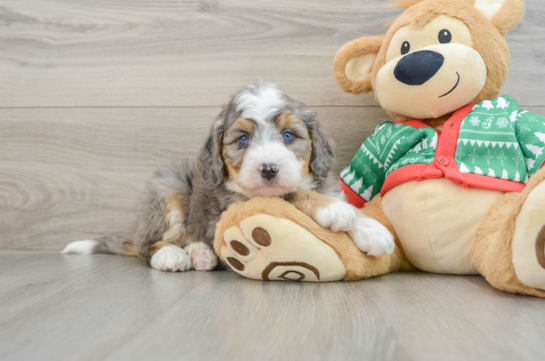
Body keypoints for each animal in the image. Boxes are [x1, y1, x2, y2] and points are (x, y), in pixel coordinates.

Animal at [63, 81, 394, 270]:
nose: (269, 169)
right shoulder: (235, 204)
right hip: (169, 186)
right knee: (151, 247)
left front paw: (371, 229)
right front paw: (333, 210)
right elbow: (292, 195)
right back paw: (173, 256)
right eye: (243, 140)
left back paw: (201, 254)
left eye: (289, 136)